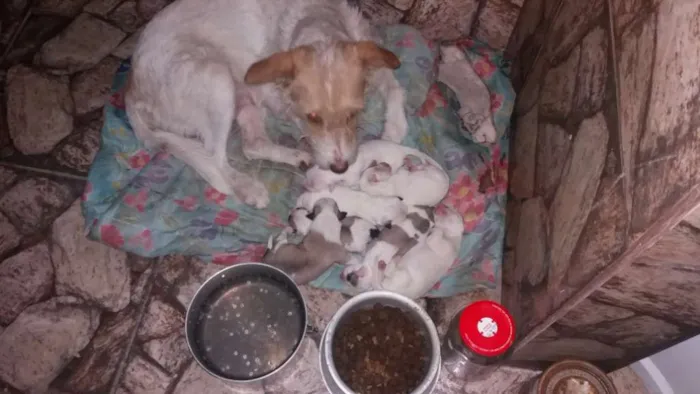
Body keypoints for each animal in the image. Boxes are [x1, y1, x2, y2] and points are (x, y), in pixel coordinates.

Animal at [127, 0, 410, 209]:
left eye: (354, 113)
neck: (315, 17)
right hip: (217, 79)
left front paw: (393, 130)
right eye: (312, 117)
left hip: (241, 98)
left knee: (252, 146)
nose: (339, 168)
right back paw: (247, 186)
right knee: (215, 155)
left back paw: (295, 157)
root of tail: (133, 90)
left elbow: (396, 88)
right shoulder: (269, 93)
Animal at [302, 139, 442, 192]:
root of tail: (402, 149)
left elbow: (351, 183)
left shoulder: (352, 179)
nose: (304, 185)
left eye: (313, 185)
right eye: (307, 174)